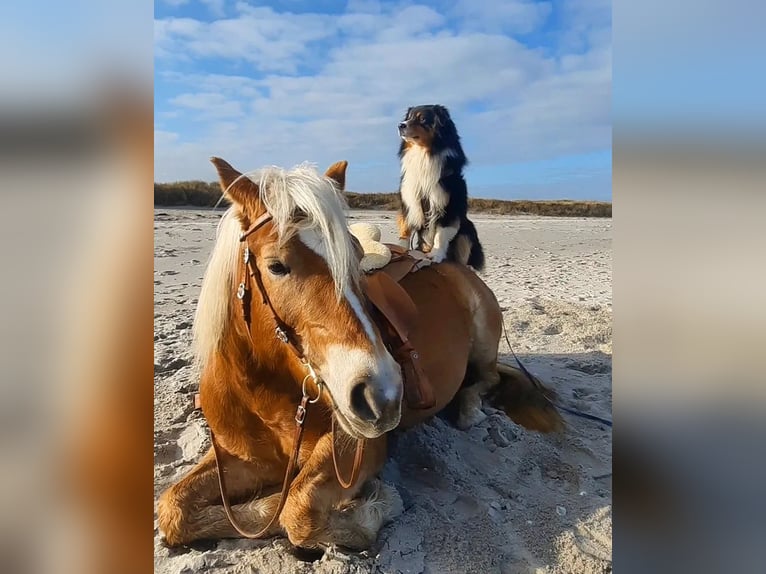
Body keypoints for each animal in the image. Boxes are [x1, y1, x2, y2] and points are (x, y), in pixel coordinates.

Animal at [156, 158, 564, 552]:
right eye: (276, 266)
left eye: (355, 258)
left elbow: (296, 510)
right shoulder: (241, 456)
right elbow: (173, 508)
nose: (381, 394)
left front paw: (377, 506)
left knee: (486, 378)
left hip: (482, 341)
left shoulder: (359, 445)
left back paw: (467, 409)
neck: (264, 390)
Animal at [396, 106, 486, 272]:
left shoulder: (448, 205)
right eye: (408, 117)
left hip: (467, 230)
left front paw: (436, 254)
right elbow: (405, 227)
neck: (424, 153)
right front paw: (401, 249)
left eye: (423, 119)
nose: (400, 125)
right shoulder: (408, 199)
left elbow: (441, 233)